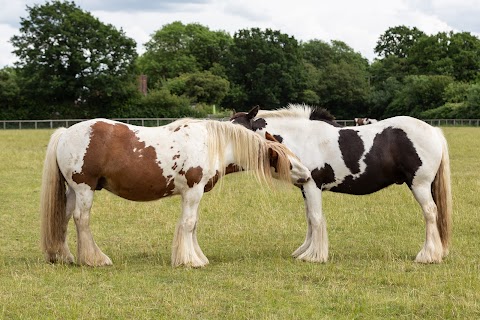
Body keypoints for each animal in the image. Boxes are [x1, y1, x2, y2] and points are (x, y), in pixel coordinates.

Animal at [41, 117, 312, 268]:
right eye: (288, 162)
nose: (308, 175)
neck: (213, 144)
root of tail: (65, 133)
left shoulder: (192, 194)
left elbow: (192, 224)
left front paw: (196, 257)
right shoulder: (193, 191)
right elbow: (189, 224)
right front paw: (190, 261)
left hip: (73, 191)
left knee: (63, 218)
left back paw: (63, 257)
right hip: (84, 190)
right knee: (81, 219)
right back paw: (95, 259)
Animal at [231, 104, 452, 264]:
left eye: (239, 132)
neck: (300, 139)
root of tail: (433, 130)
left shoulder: (312, 185)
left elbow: (315, 218)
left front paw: (314, 256)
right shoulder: (304, 188)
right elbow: (310, 219)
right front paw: (305, 250)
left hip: (419, 185)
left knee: (430, 213)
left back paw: (427, 255)